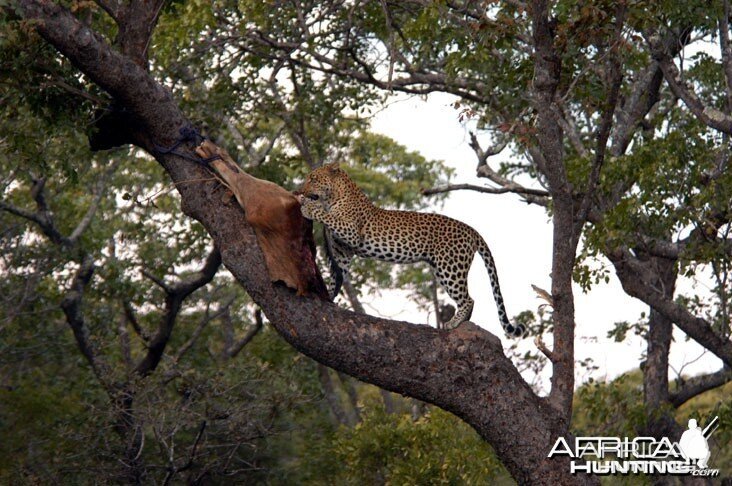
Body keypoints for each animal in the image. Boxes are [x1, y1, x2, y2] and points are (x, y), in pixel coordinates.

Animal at [298, 163, 528, 338]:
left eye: (313, 178)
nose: (300, 190)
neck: (335, 196)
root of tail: (471, 230)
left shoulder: (352, 231)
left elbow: (329, 217)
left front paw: (307, 206)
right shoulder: (342, 252)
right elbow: (337, 276)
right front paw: (328, 294)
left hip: (450, 268)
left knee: (468, 299)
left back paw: (453, 323)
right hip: (442, 268)